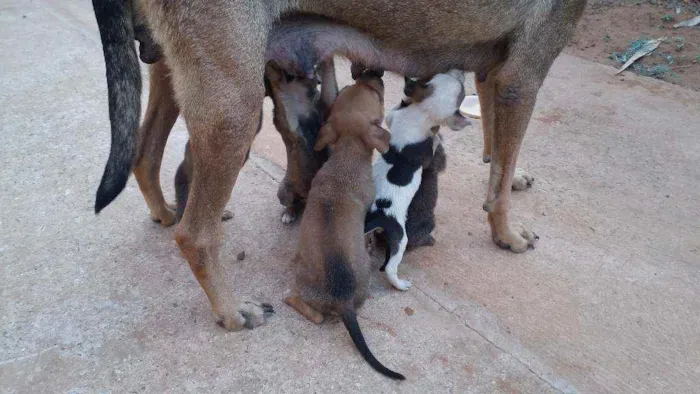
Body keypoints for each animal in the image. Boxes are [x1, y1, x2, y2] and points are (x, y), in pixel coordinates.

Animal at [284, 71, 404, 382]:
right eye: (377, 96)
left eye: (347, 88)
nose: (373, 74)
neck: (346, 157)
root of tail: (344, 302)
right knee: (316, 316)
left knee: (317, 316)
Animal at [366, 70, 470, 290]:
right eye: (462, 91)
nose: (461, 71)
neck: (420, 111)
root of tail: (379, 217)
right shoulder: (428, 154)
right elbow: (434, 146)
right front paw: (437, 137)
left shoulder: (394, 117)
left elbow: (392, 114)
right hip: (400, 239)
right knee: (390, 267)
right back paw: (400, 284)